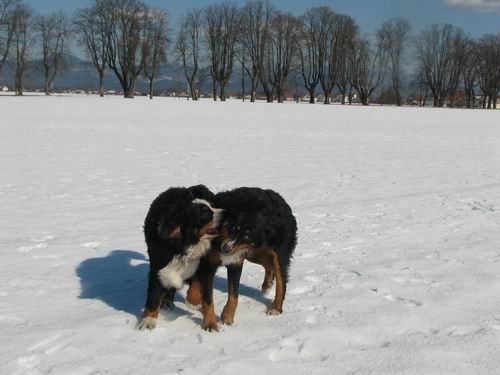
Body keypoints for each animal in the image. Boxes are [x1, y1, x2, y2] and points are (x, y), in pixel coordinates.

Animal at [137, 184, 223, 328]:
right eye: (205, 212)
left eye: (212, 205)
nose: (225, 212)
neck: (186, 245)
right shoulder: (159, 268)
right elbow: (153, 297)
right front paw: (148, 320)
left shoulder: (206, 265)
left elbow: (204, 294)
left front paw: (209, 322)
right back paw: (167, 301)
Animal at [188, 188, 296, 332]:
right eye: (233, 228)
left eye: (246, 237)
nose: (226, 248)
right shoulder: (208, 262)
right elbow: (205, 294)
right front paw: (208, 319)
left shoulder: (235, 263)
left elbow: (233, 296)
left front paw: (225, 317)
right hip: (254, 253)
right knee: (268, 265)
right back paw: (266, 285)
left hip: (278, 254)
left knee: (281, 281)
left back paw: (275, 308)